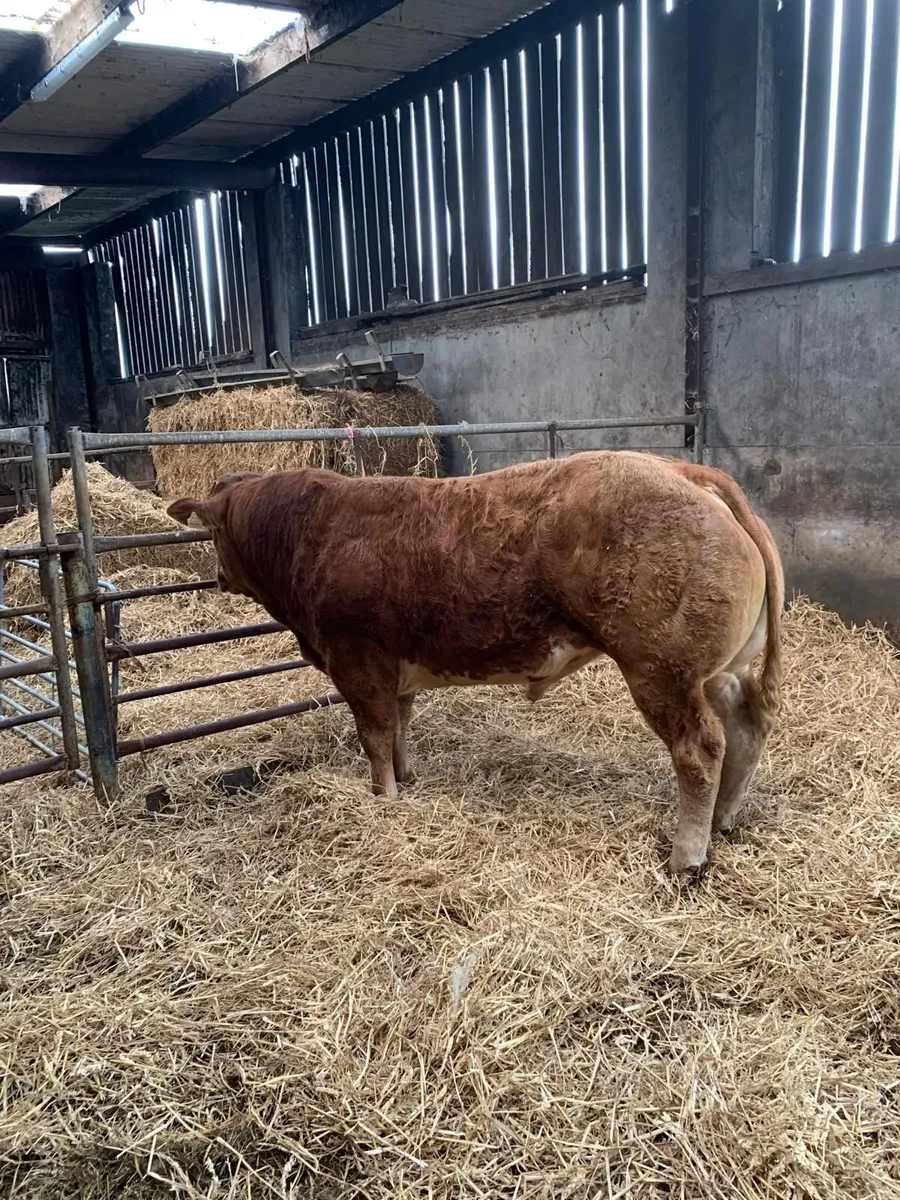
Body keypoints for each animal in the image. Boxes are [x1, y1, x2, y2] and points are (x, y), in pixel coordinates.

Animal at [168, 451, 784, 876]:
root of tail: (682, 470)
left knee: (700, 748)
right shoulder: (396, 667)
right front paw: (407, 778)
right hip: (718, 669)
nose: (217, 577)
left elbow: (374, 734)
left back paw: (688, 857)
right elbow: (401, 725)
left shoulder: (357, 661)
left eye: (213, 532)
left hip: (660, 668)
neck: (311, 535)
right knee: (747, 725)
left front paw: (383, 798)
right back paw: (725, 819)